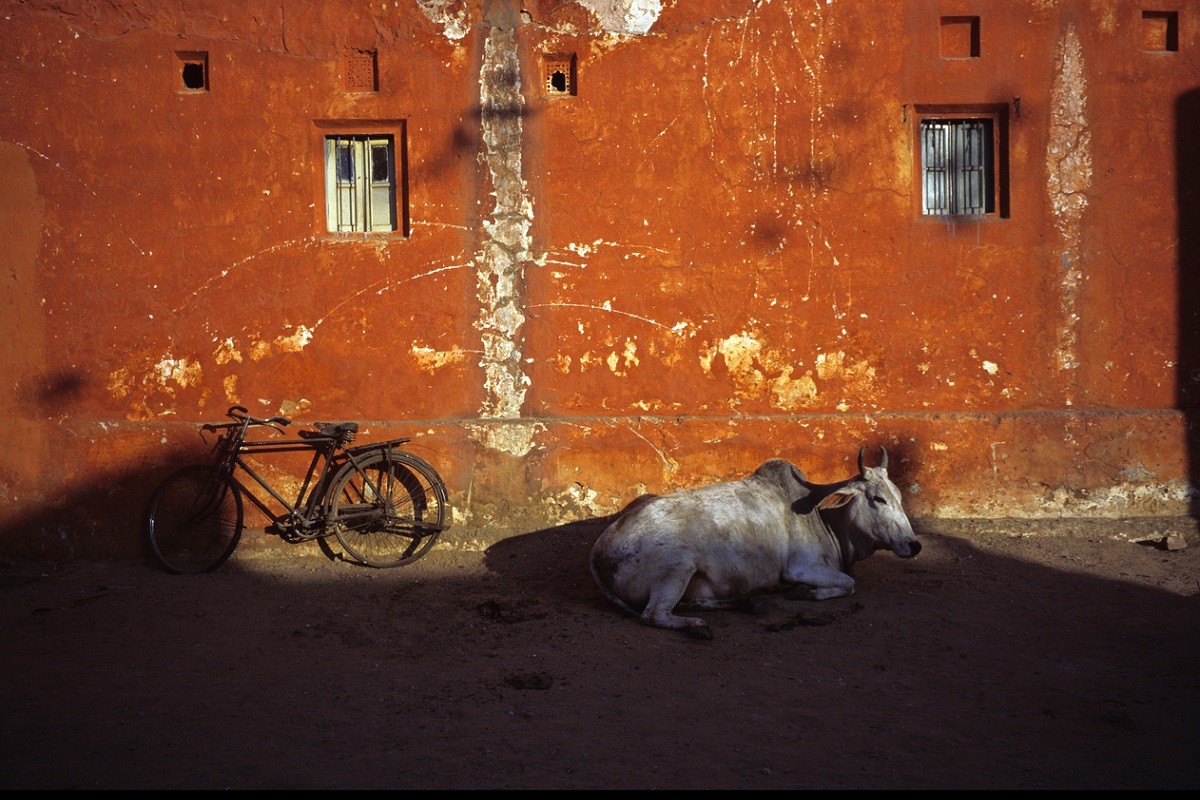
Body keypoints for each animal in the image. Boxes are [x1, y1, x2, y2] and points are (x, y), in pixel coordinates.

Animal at [588, 447, 920, 639]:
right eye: (878, 498)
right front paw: (807, 593)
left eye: (899, 496)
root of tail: (600, 547)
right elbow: (849, 584)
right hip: (677, 567)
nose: (914, 545)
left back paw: (750, 602)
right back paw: (698, 626)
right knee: (653, 615)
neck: (823, 516)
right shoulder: (801, 567)